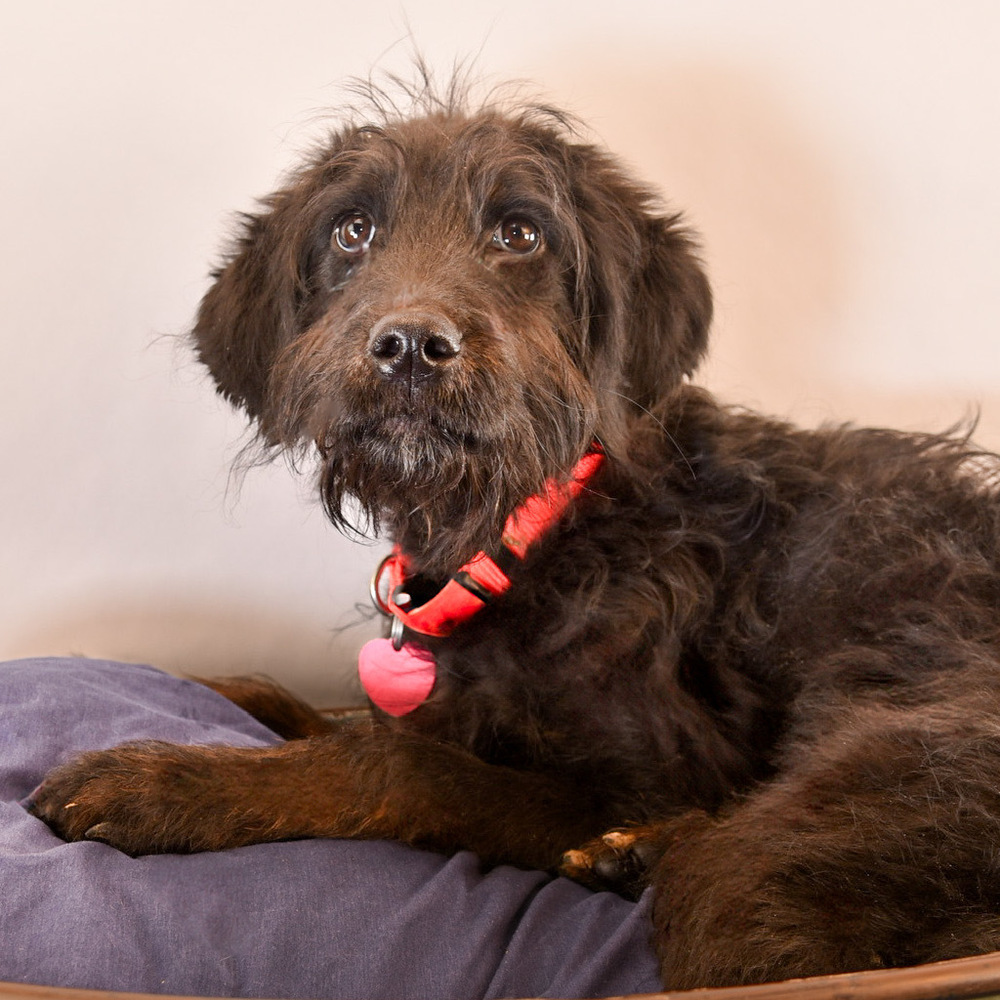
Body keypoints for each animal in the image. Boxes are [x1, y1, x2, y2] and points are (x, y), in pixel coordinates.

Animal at [25, 88, 1000, 992]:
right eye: (352, 230)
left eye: (520, 233)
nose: (410, 346)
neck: (528, 531)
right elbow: (305, 703)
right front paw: (184, 687)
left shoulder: (658, 770)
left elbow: (394, 762)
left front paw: (165, 782)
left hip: (826, 819)